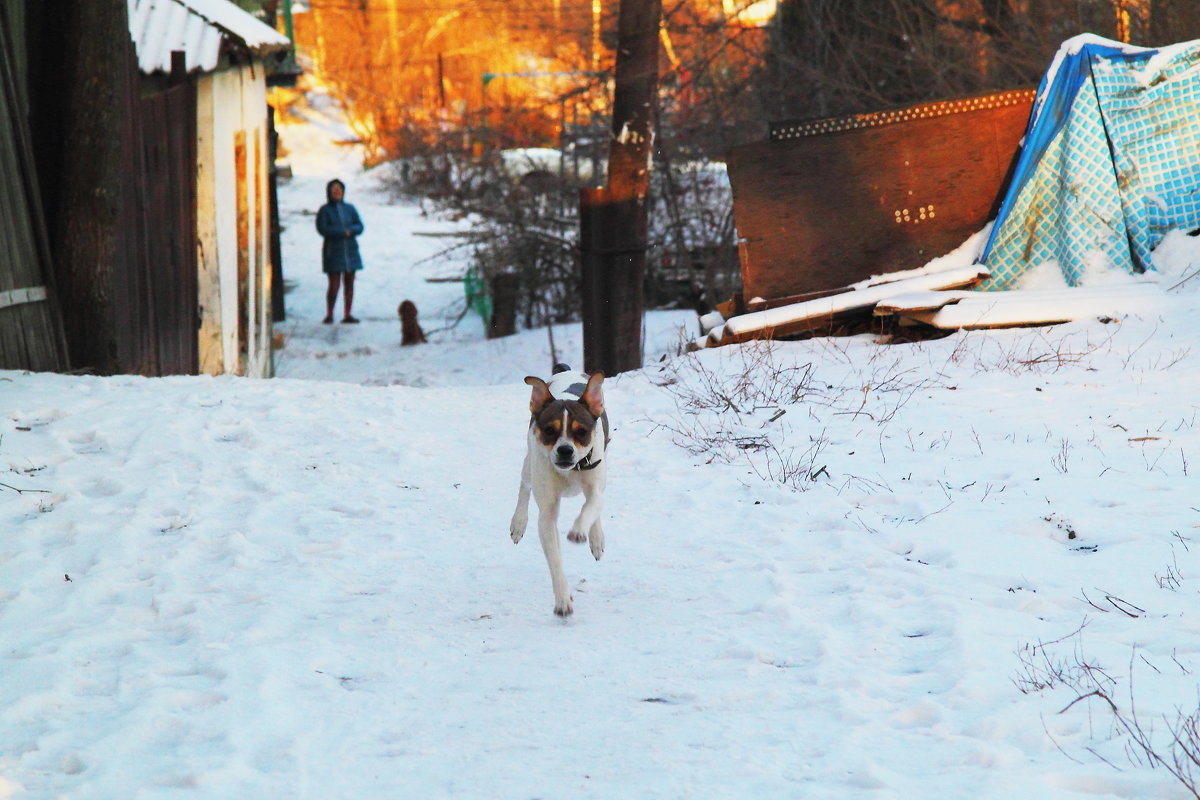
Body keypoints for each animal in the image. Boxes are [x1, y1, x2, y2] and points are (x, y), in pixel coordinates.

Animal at [508, 364, 609, 618]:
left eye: (581, 431)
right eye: (549, 430)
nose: (565, 450)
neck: (570, 471)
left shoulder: (595, 480)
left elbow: (590, 506)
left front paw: (580, 531)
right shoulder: (547, 513)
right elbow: (554, 559)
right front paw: (563, 601)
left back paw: (596, 539)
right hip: (530, 462)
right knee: (524, 485)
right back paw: (518, 523)